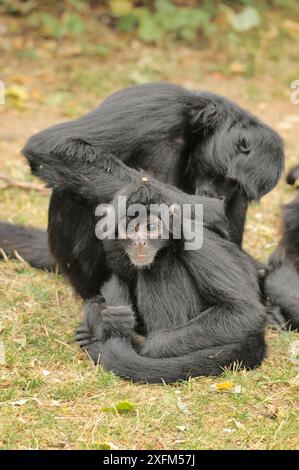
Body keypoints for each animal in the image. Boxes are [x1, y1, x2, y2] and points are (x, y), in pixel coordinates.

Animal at [75, 182, 268, 384]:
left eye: (151, 226)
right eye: (131, 228)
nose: (140, 242)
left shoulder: (193, 238)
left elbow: (245, 312)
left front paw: (139, 343)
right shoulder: (113, 249)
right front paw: (103, 318)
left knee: (160, 264)